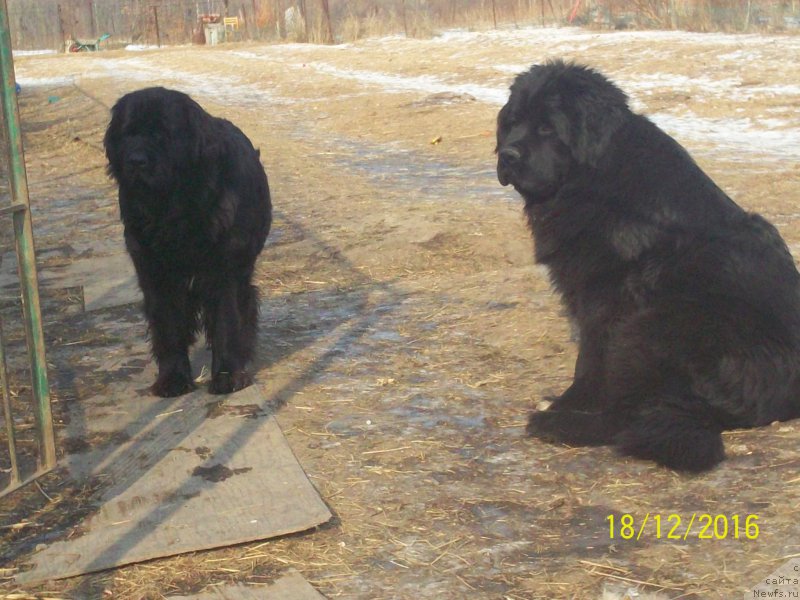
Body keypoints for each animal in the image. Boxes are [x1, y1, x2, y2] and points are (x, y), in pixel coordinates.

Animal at [104, 86, 272, 396]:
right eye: (128, 133)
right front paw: (172, 379)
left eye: (162, 134)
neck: (174, 210)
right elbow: (169, 328)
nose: (136, 160)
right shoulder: (155, 274)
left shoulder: (225, 273)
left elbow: (227, 323)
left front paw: (228, 376)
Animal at [496, 62, 800, 474]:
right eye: (512, 123)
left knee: (624, 417)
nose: (508, 155)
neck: (596, 179)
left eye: (547, 128)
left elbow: (589, 362)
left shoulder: (606, 297)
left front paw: (568, 402)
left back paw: (557, 424)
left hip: (657, 324)